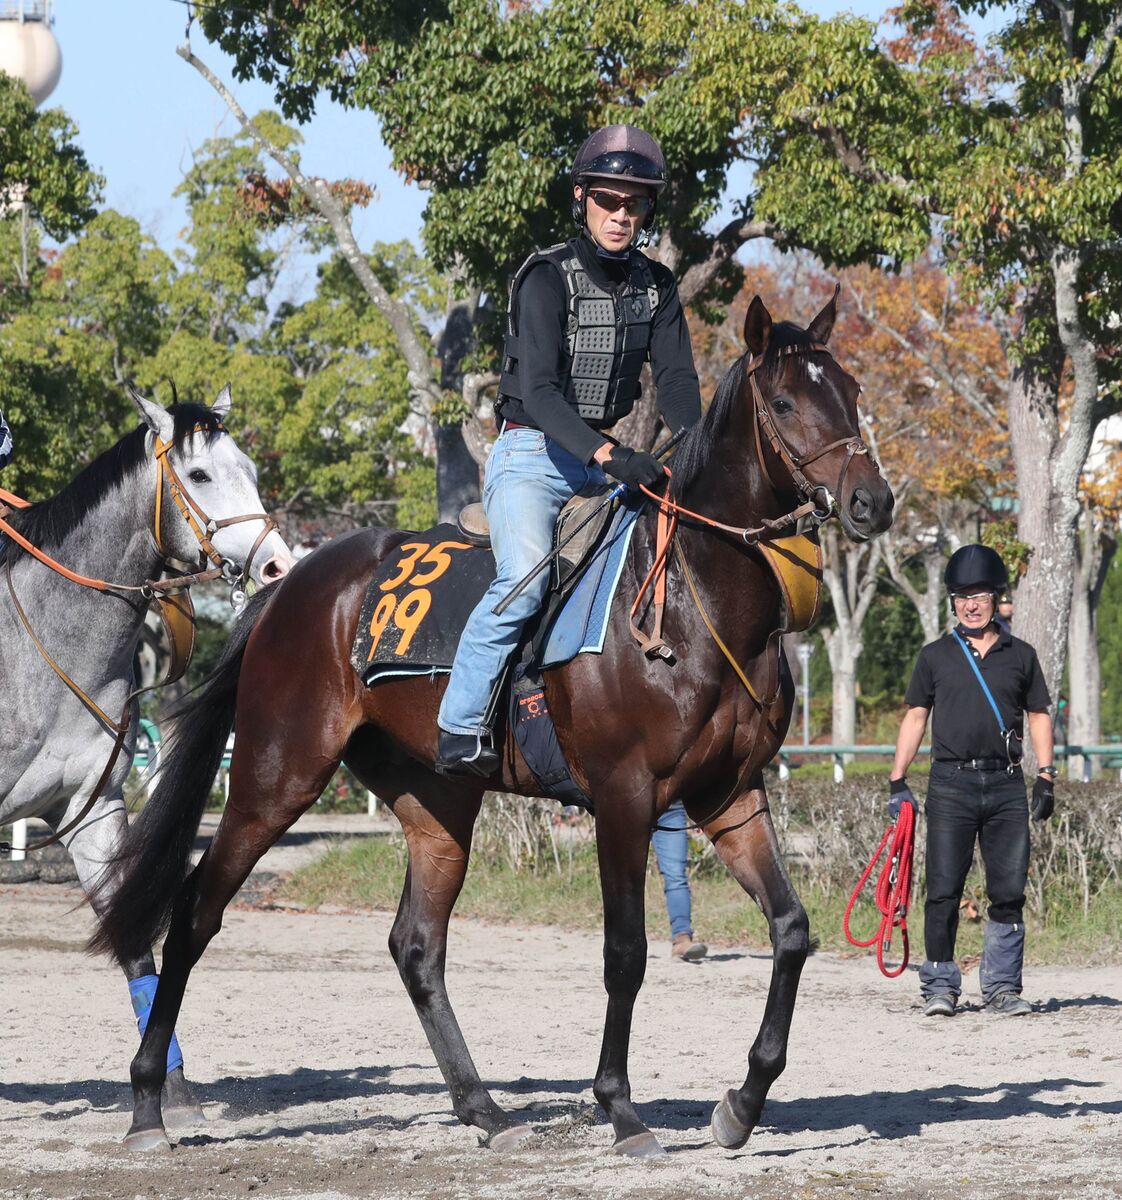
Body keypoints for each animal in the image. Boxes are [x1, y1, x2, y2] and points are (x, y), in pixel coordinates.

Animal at [0, 386, 294, 1113]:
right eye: (199, 475)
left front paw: (169, 1091)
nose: (278, 565)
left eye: (250, 467)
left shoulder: (92, 812)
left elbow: (134, 945)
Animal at [90, 290, 892, 1152]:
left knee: (416, 946)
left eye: (851, 390)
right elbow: (625, 952)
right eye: (786, 402)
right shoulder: (624, 797)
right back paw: (149, 1102)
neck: (688, 603)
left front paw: (742, 1103)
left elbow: (792, 929)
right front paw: (619, 1107)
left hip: (438, 802)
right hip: (274, 778)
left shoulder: (731, 796)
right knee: (194, 913)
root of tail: (290, 584)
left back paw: (483, 1107)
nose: (873, 501)